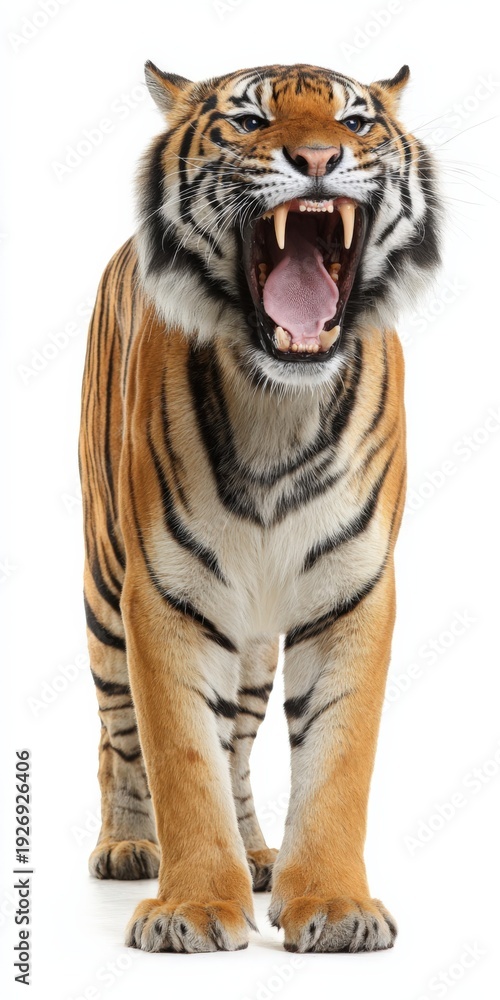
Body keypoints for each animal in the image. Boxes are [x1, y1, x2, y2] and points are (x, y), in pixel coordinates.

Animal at [79, 60, 441, 954]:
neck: (282, 402)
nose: (316, 158)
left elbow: (336, 761)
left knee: (239, 749)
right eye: (248, 119)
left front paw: (335, 905)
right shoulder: (162, 595)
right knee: (118, 736)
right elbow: (181, 758)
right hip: (104, 591)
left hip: (247, 645)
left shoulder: (353, 591)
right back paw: (128, 845)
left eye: (356, 121)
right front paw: (194, 907)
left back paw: (257, 855)